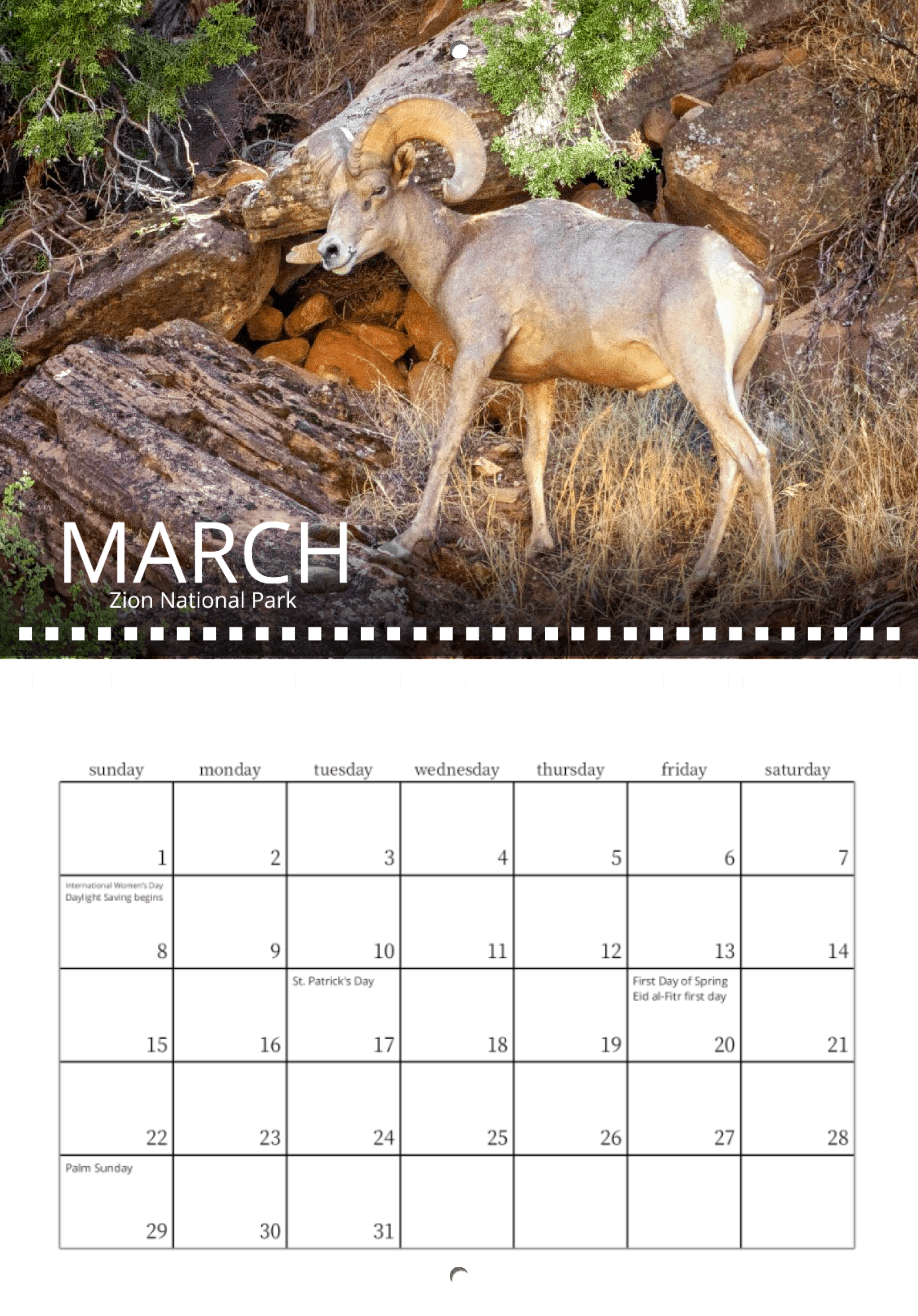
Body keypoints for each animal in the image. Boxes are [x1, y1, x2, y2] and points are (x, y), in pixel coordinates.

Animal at [290, 95, 782, 587]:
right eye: (335, 198)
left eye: (377, 190)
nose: (331, 251)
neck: (457, 251)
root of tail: (747, 277)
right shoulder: (538, 382)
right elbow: (534, 458)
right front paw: (539, 544)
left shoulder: (476, 355)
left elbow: (447, 442)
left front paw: (407, 541)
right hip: (727, 386)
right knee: (730, 466)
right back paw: (698, 576)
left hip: (703, 382)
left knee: (753, 457)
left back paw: (767, 573)